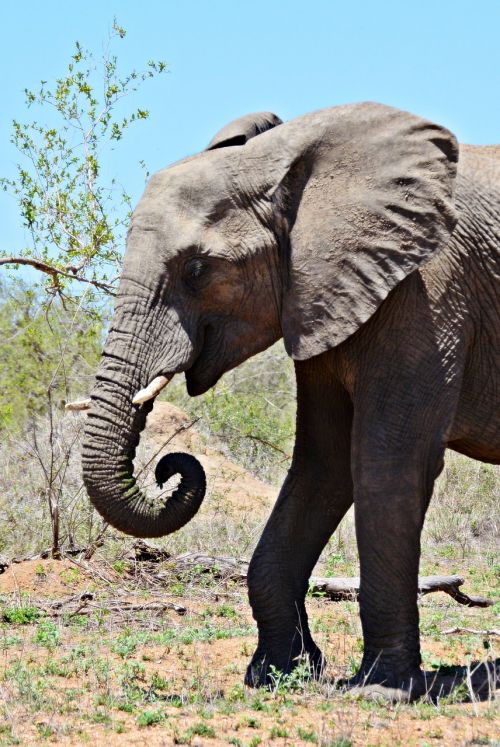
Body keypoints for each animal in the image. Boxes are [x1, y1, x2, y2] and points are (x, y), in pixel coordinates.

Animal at [80, 101, 498, 700]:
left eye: (197, 270)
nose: (170, 468)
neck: (282, 165)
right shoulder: (323, 293)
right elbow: (322, 465)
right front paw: (278, 673)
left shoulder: (429, 291)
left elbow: (387, 462)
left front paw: (381, 690)